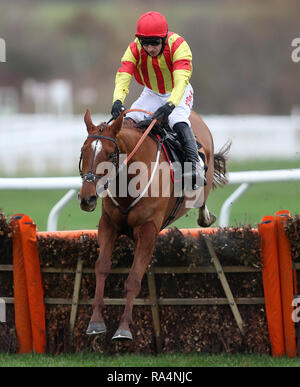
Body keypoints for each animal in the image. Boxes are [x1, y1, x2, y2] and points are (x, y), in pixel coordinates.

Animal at [78, 108, 229, 340]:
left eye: (111, 155)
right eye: (83, 151)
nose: (87, 198)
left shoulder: (148, 230)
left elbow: (133, 279)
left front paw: (123, 327)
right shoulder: (108, 224)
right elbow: (101, 267)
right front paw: (95, 321)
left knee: (202, 197)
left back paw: (205, 215)